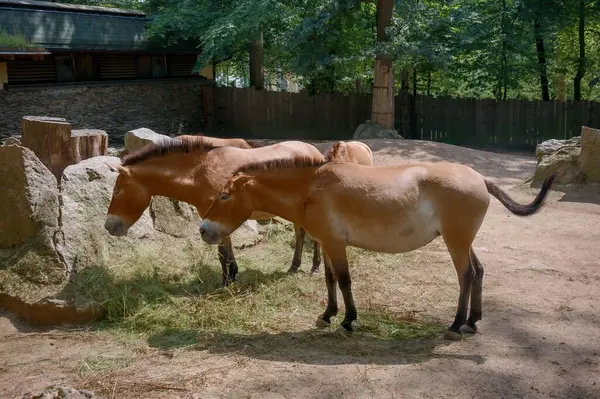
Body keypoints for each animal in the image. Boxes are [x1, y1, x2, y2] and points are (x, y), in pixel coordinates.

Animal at [105, 139, 326, 286]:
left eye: (117, 191)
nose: (108, 226)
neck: (199, 174)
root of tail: (314, 151)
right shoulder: (218, 220)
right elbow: (227, 252)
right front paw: (233, 276)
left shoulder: (218, 218)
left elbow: (223, 255)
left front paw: (226, 283)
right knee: (300, 235)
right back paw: (294, 266)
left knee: (312, 238)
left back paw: (314, 268)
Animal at [198, 156, 556, 340]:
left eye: (225, 196)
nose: (203, 230)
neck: (312, 186)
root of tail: (480, 179)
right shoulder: (327, 243)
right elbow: (330, 279)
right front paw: (327, 315)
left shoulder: (335, 244)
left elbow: (344, 280)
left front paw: (348, 320)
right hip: (462, 240)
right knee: (479, 271)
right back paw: (472, 321)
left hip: (456, 242)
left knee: (466, 276)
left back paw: (456, 325)